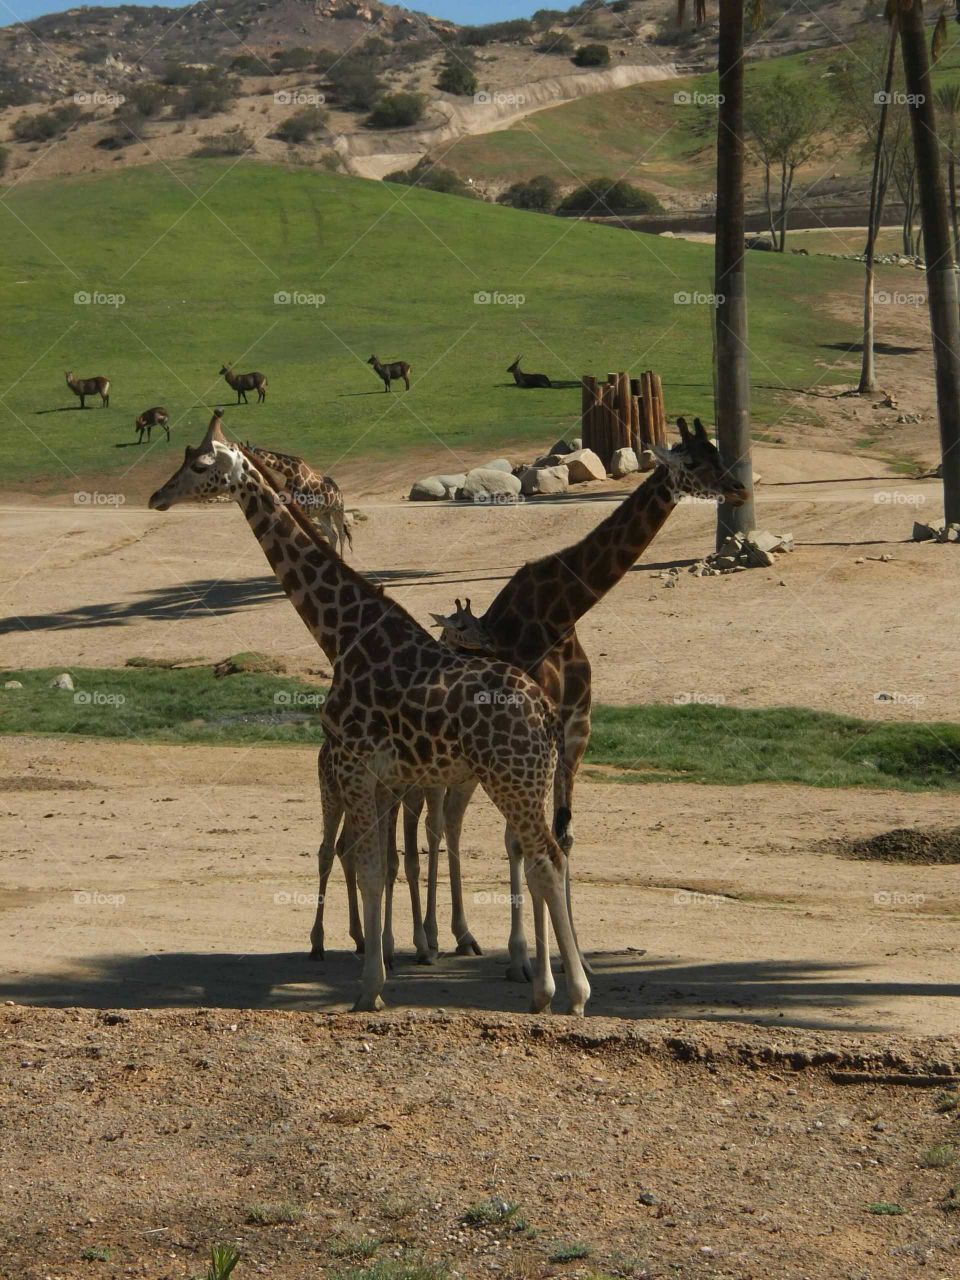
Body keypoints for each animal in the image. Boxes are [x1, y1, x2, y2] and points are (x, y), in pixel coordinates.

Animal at [148, 414, 593, 1013]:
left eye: (198, 465)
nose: (157, 496)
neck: (341, 637)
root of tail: (546, 713)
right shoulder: (385, 776)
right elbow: (379, 864)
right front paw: (383, 967)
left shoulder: (356, 765)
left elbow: (370, 869)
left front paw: (369, 988)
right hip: (531, 779)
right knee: (549, 855)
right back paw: (548, 988)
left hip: (510, 778)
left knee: (546, 857)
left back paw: (572, 993)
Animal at [323, 414, 752, 972]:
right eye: (696, 462)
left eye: (719, 453)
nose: (740, 488)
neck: (557, 616)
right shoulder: (520, 743)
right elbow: (516, 843)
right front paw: (522, 956)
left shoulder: (572, 737)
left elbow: (560, 837)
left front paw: (577, 958)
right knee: (430, 825)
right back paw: (418, 940)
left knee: (447, 825)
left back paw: (453, 936)